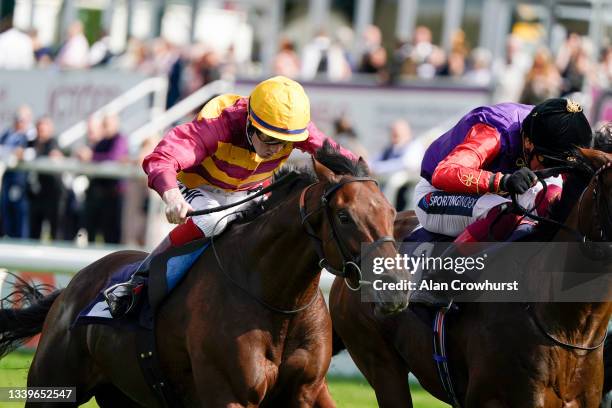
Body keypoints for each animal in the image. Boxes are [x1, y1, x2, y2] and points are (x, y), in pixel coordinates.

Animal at [0, 145, 406, 406]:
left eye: (390, 211)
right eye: (345, 217)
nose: (395, 289)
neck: (276, 299)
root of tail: (72, 288)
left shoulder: (307, 391)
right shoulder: (228, 394)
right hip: (53, 388)